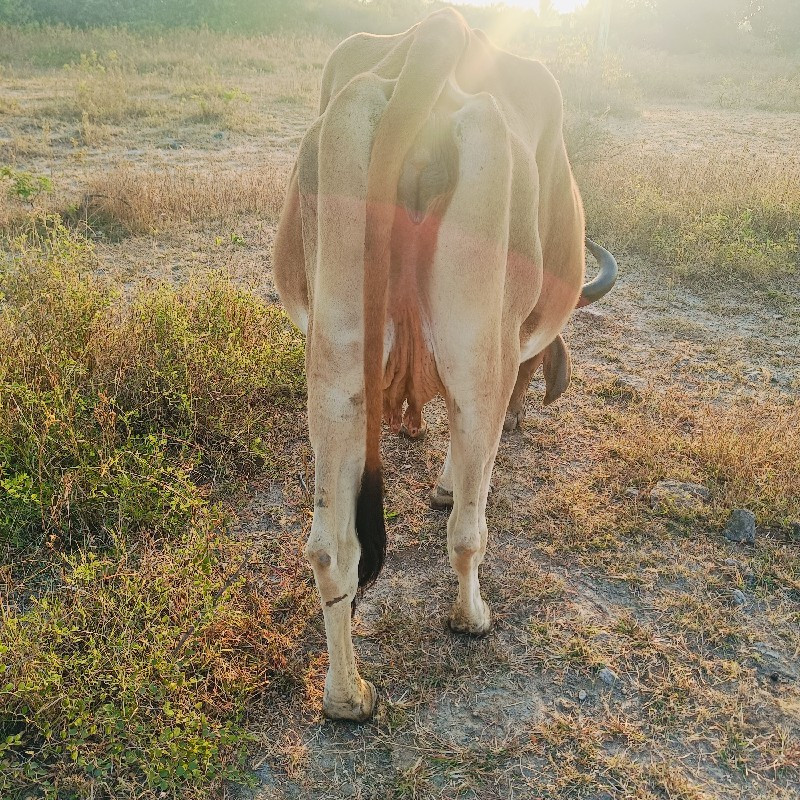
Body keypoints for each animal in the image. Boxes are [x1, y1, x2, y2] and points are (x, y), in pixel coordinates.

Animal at [274, 7, 620, 720]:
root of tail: (436, 41)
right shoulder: (498, 362)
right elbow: (464, 473)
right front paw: (444, 483)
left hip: (335, 372)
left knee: (330, 549)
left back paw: (347, 697)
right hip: (476, 356)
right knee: (467, 530)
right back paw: (471, 617)